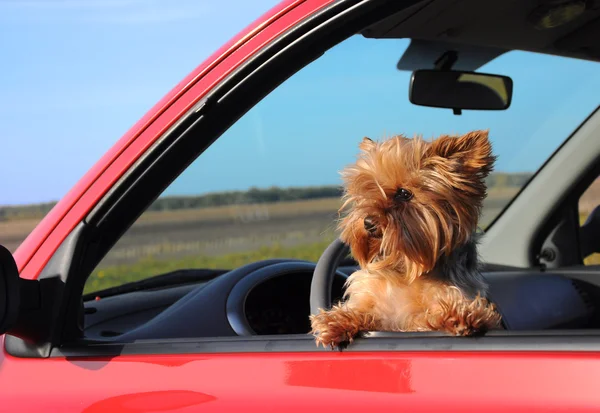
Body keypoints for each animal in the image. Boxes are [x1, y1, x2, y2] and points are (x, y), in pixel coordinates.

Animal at [310, 129, 502, 348]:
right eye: (368, 190)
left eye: (403, 193)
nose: (367, 222)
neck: (406, 264)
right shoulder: (373, 299)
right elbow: (364, 310)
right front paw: (336, 320)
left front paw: (459, 315)